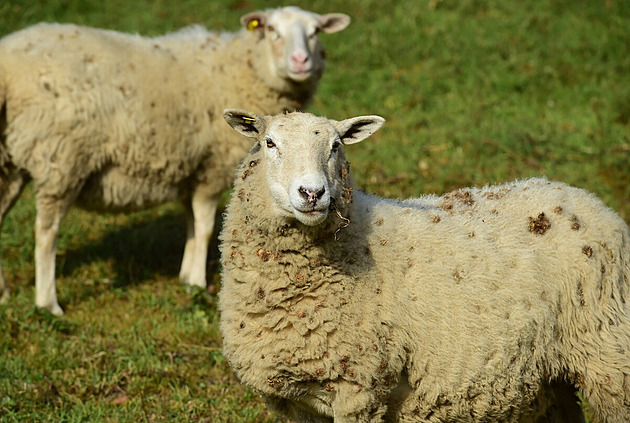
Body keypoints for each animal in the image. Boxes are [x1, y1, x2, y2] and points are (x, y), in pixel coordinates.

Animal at [0, 4, 354, 314]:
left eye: (315, 32)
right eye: (271, 30)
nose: (300, 60)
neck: (241, 68)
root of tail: (7, 69)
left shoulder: (191, 168)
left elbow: (191, 223)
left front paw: (185, 275)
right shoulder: (212, 167)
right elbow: (205, 225)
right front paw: (196, 282)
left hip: (10, 165)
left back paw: (3, 294)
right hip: (61, 161)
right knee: (46, 234)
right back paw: (48, 303)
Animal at [221, 107, 630, 422]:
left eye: (336, 145)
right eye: (269, 143)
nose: (312, 193)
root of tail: (588, 198)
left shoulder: (361, 388)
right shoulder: (293, 402)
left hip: (609, 358)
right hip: (552, 376)